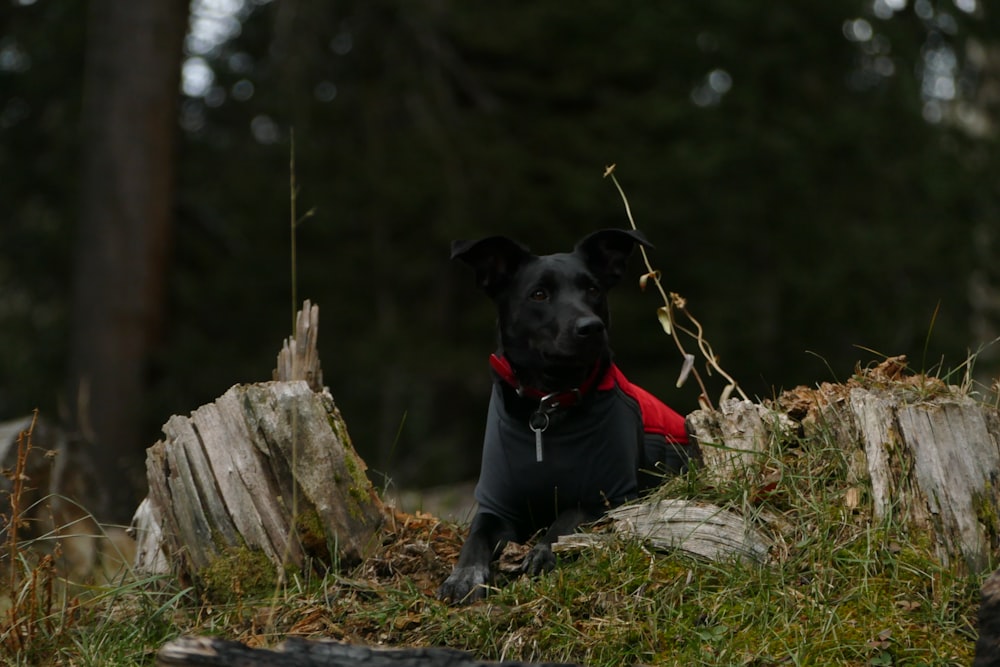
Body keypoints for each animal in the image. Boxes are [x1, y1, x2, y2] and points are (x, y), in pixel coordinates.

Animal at [438, 228, 704, 604]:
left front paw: (544, 550)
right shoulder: (496, 504)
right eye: (539, 294)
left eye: (592, 289)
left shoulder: (609, 496)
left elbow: (565, 519)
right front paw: (463, 575)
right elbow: (475, 538)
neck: (549, 405)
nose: (590, 327)